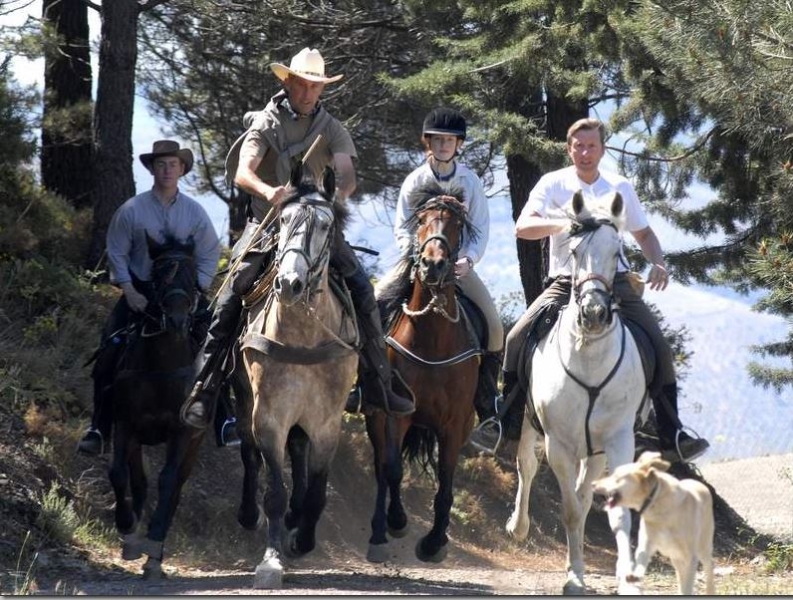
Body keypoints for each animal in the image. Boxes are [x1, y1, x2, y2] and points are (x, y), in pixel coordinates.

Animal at [108, 233, 207, 576]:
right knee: (138, 481)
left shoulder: (181, 432)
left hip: (194, 444)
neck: (161, 366)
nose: (177, 319)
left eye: (191, 275)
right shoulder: (124, 423)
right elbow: (118, 473)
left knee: (175, 489)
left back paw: (156, 551)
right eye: (160, 274)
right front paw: (128, 529)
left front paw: (153, 548)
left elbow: (167, 482)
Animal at [237, 165, 358, 592]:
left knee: (300, 453)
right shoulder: (269, 417)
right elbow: (274, 487)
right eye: (285, 220)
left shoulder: (326, 422)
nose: (289, 284)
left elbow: (318, 490)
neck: (303, 335)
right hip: (243, 401)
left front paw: (302, 537)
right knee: (247, 453)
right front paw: (271, 560)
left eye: (325, 225)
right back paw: (249, 514)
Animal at [366, 188, 482, 564]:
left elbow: (446, 481)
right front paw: (397, 522)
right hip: (375, 417)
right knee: (380, 469)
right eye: (420, 220)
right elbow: (392, 470)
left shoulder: (454, 425)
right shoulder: (396, 414)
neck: (432, 339)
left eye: (458, 223)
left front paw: (434, 542)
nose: (433, 265)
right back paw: (378, 532)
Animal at [504, 190, 648, 592]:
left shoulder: (616, 440)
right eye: (574, 250)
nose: (595, 313)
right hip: (528, 422)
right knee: (526, 466)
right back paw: (517, 526)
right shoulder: (559, 444)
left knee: (585, 494)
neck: (589, 356)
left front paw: (625, 580)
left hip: (595, 450)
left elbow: (612, 510)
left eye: (617, 252)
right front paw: (573, 578)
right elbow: (568, 509)